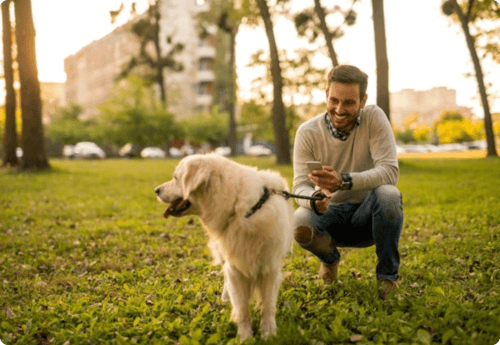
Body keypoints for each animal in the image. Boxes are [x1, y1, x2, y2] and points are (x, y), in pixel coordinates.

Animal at [154, 155, 292, 340]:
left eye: (176, 178)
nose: (156, 190)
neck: (243, 209)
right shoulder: (235, 267)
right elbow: (242, 308)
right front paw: (245, 337)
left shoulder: (270, 268)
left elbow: (268, 306)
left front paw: (268, 333)